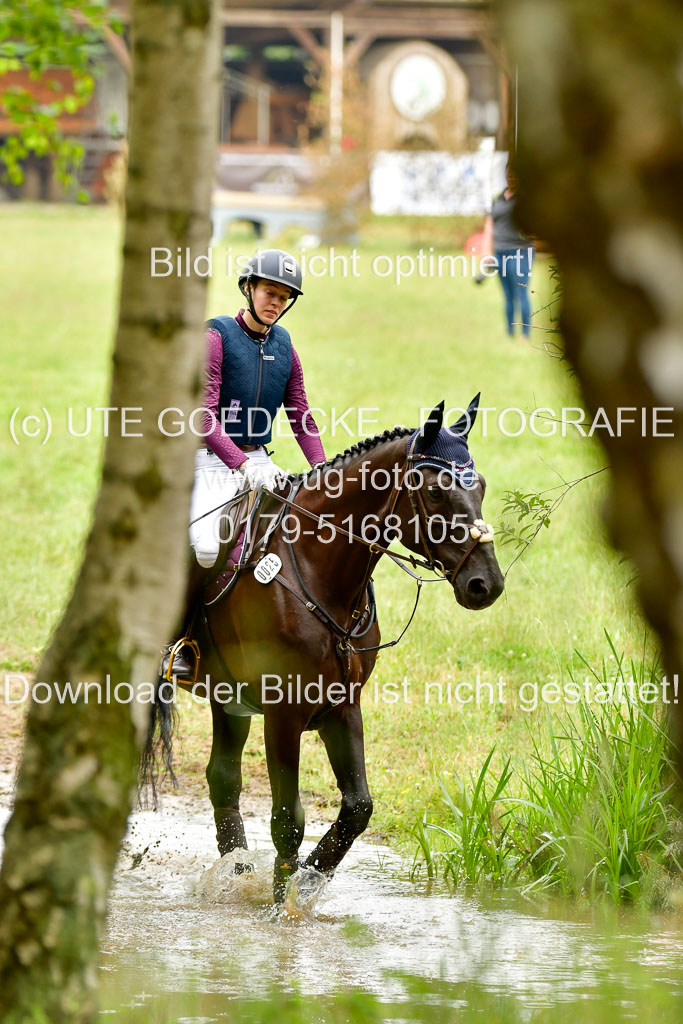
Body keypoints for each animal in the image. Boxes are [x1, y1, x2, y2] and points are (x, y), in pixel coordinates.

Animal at [143, 395, 507, 901]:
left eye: (483, 486)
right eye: (434, 492)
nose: (485, 585)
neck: (319, 571)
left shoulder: (342, 706)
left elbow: (358, 808)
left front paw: (309, 880)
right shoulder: (283, 713)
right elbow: (287, 821)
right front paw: (282, 906)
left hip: (229, 700)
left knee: (223, 779)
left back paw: (236, 873)